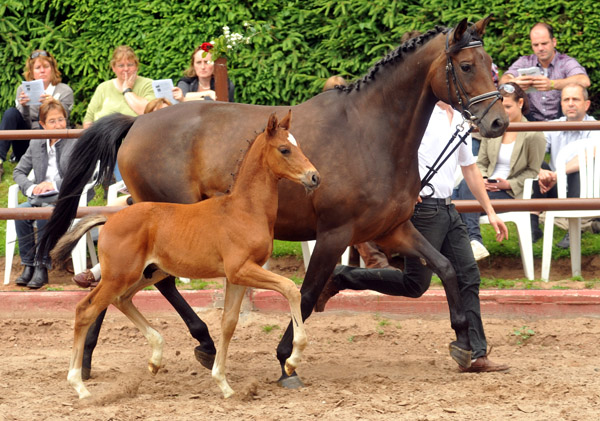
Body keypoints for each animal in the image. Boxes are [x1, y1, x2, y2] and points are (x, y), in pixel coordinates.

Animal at [52, 110, 318, 398]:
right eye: (284, 149)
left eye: (299, 145)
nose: (314, 177)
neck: (244, 210)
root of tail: (109, 220)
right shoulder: (241, 269)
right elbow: (290, 288)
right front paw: (291, 362)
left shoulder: (237, 277)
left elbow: (228, 323)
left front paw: (224, 384)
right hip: (121, 275)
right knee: (85, 310)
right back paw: (79, 386)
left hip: (148, 273)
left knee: (122, 300)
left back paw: (155, 358)